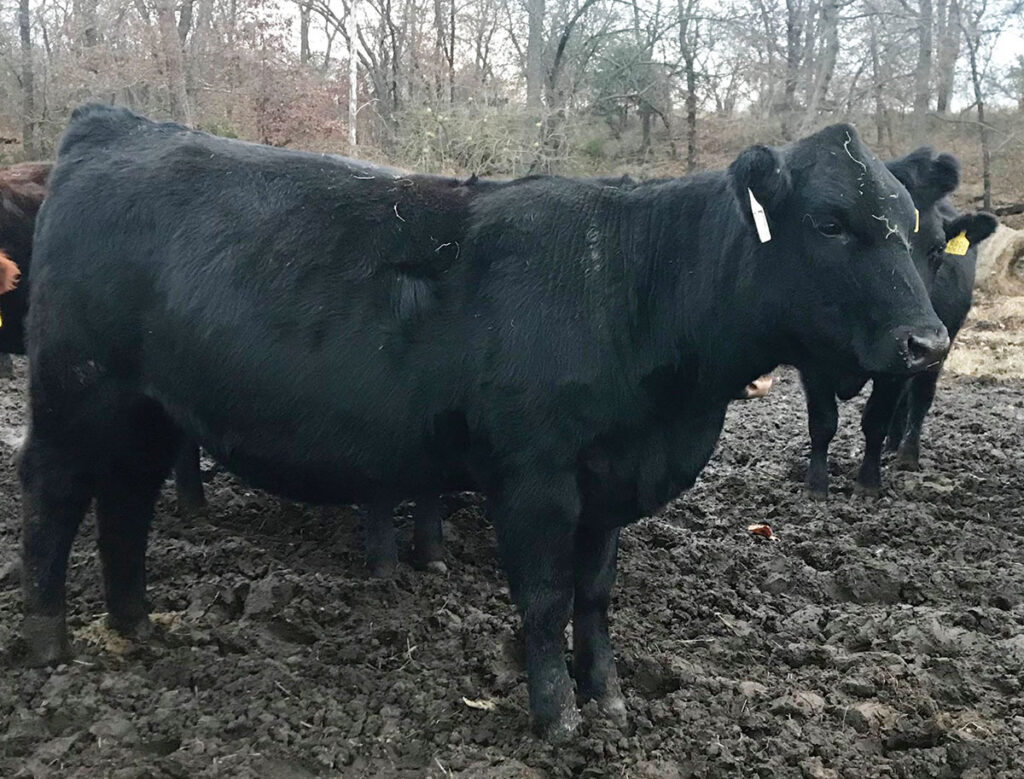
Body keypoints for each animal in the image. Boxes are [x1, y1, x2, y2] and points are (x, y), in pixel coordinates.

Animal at [24, 104, 946, 741]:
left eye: (912, 227)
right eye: (829, 222)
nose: (927, 341)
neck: (632, 286)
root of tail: (113, 124)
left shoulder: (607, 483)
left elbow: (595, 594)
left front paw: (609, 698)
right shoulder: (534, 477)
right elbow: (542, 598)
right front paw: (556, 716)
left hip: (145, 410)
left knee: (128, 502)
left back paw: (136, 624)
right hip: (75, 393)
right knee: (54, 498)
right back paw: (49, 640)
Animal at [798, 148, 999, 495]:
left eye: (938, 249)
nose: (918, 324)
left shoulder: (902, 363)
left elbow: (875, 420)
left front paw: (868, 484)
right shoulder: (812, 360)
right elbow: (822, 422)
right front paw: (816, 485)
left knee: (919, 399)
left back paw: (905, 454)